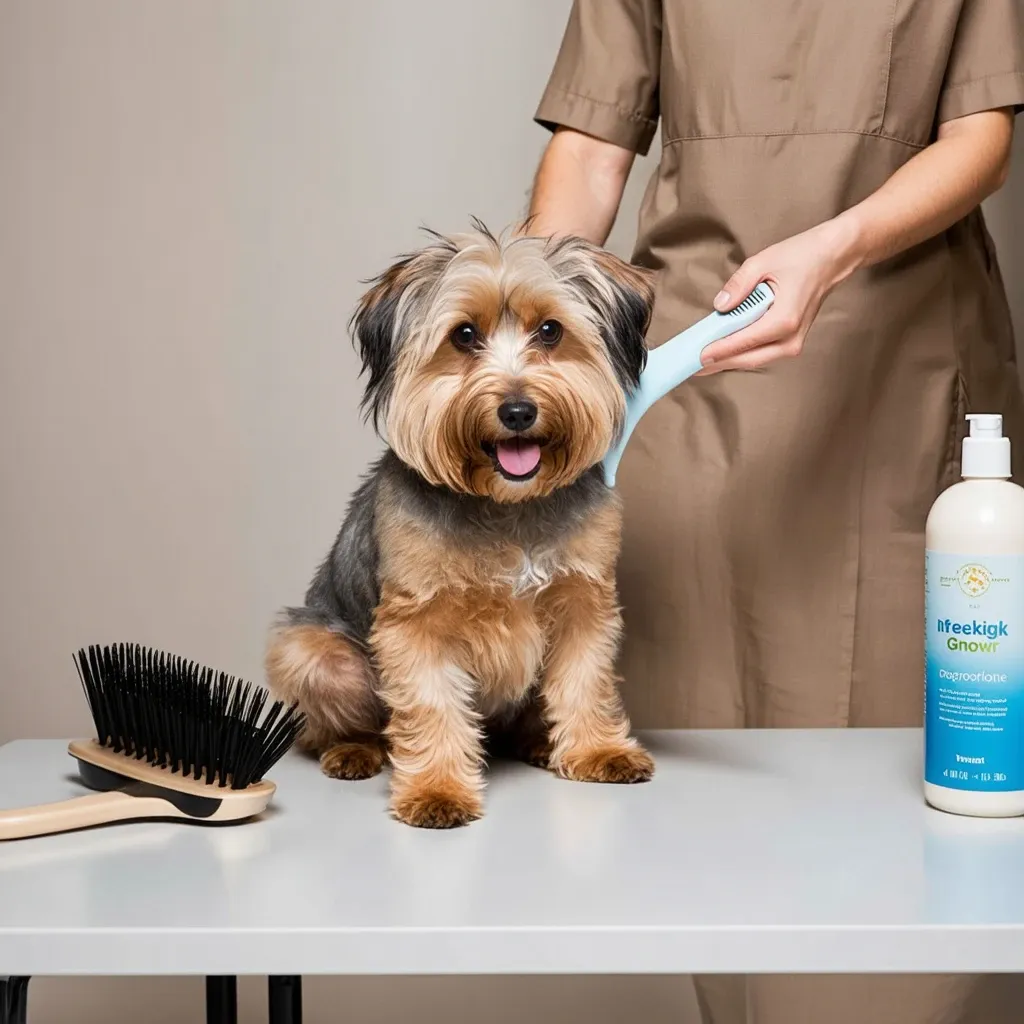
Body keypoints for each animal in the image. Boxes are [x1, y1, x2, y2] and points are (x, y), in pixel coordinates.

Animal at [266, 222, 655, 823]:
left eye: (550, 330)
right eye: (464, 335)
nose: (517, 411)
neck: (508, 504)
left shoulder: (583, 605)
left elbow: (584, 681)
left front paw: (598, 750)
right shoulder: (417, 625)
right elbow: (432, 705)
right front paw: (437, 790)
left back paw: (538, 741)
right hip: (314, 652)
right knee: (334, 723)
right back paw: (353, 750)